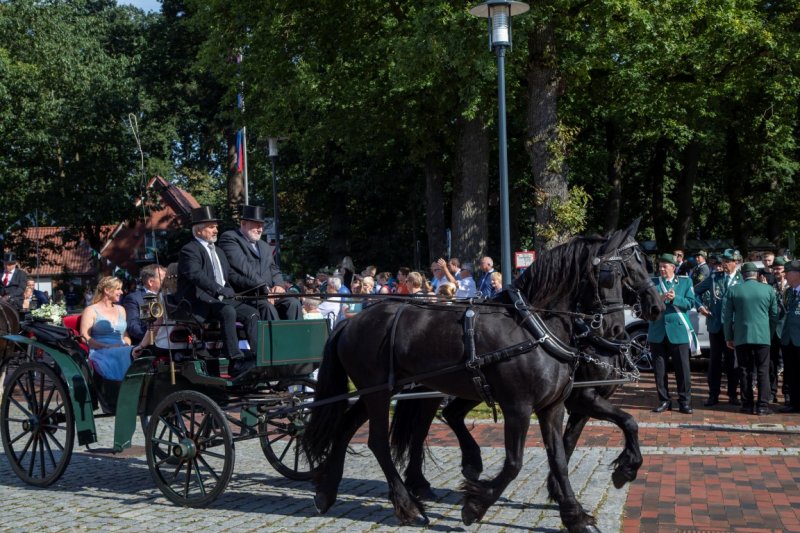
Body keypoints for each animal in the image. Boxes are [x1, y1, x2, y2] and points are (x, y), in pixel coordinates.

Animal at [300, 222, 664, 528]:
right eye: (617, 271)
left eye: (643, 265)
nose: (655, 307)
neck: (535, 327)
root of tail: (351, 321)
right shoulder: (521, 406)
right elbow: (515, 462)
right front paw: (476, 505)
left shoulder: (555, 406)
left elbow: (563, 455)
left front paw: (574, 512)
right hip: (378, 391)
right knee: (379, 441)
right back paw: (408, 505)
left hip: (383, 390)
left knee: (352, 428)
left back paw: (328, 492)